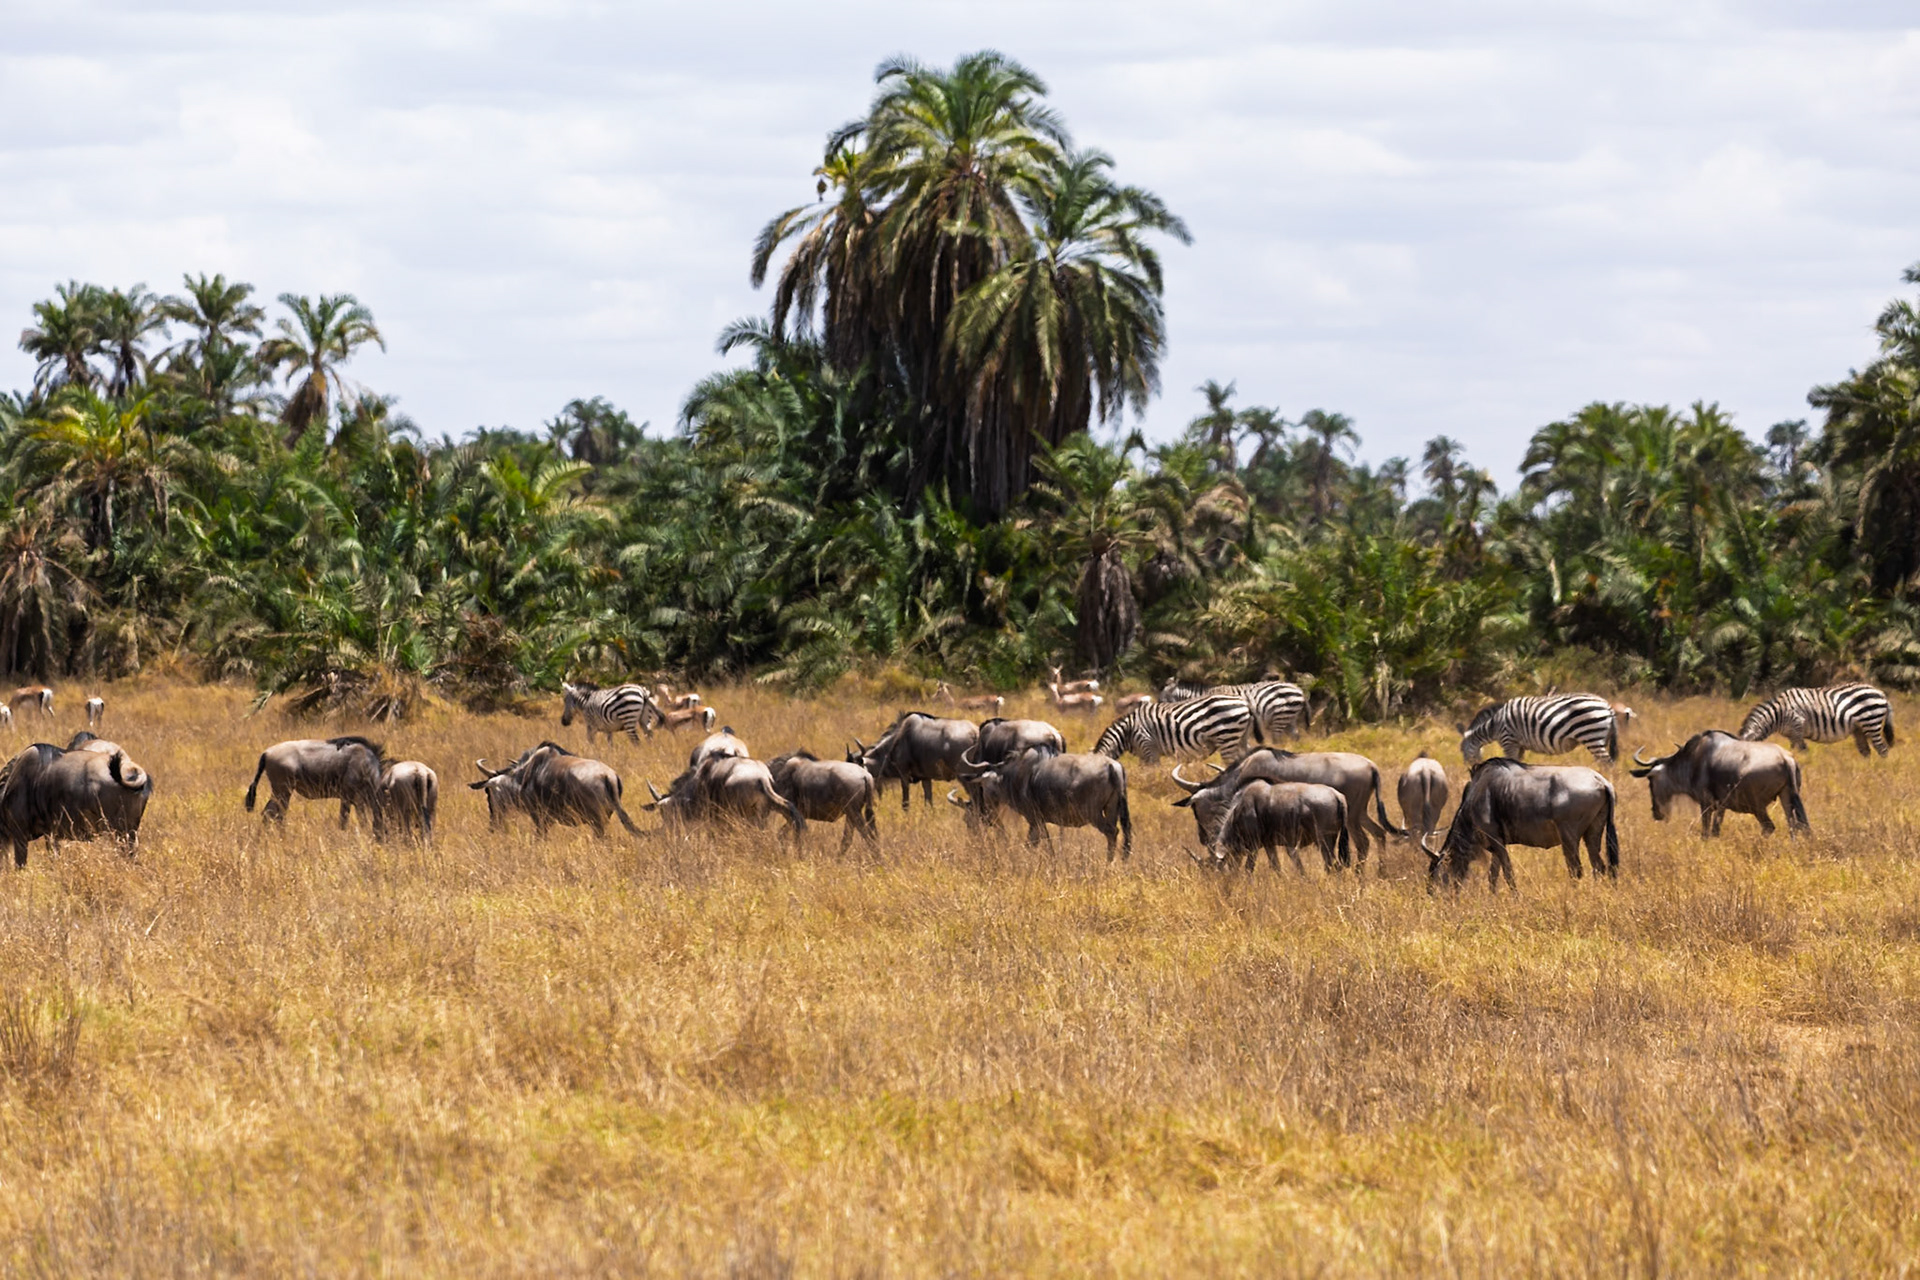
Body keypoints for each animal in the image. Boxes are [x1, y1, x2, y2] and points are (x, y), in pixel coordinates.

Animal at [1094, 694, 1258, 765]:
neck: (1127, 733)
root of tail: (1245, 702)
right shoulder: (1143, 755)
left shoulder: (1148, 746)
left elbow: (1153, 772)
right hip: (1241, 738)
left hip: (1227, 737)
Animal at [1459, 694, 1619, 765]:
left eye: (1461, 750)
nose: (1467, 768)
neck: (1495, 723)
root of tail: (1608, 706)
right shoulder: (1519, 745)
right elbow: (1519, 763)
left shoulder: (1509, 741)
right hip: (1600, 738)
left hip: (1591, 735)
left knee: (1607, 763)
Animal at [1740, 684, 1895, 757]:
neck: (1779, 714)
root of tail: (1881, 693)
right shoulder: (1791, 735)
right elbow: (1793, 750)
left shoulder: (1797, 726)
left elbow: (1803, 750)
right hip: (1859, 729)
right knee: (1866, 751)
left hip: (1872, 722)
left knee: (1882, 749)